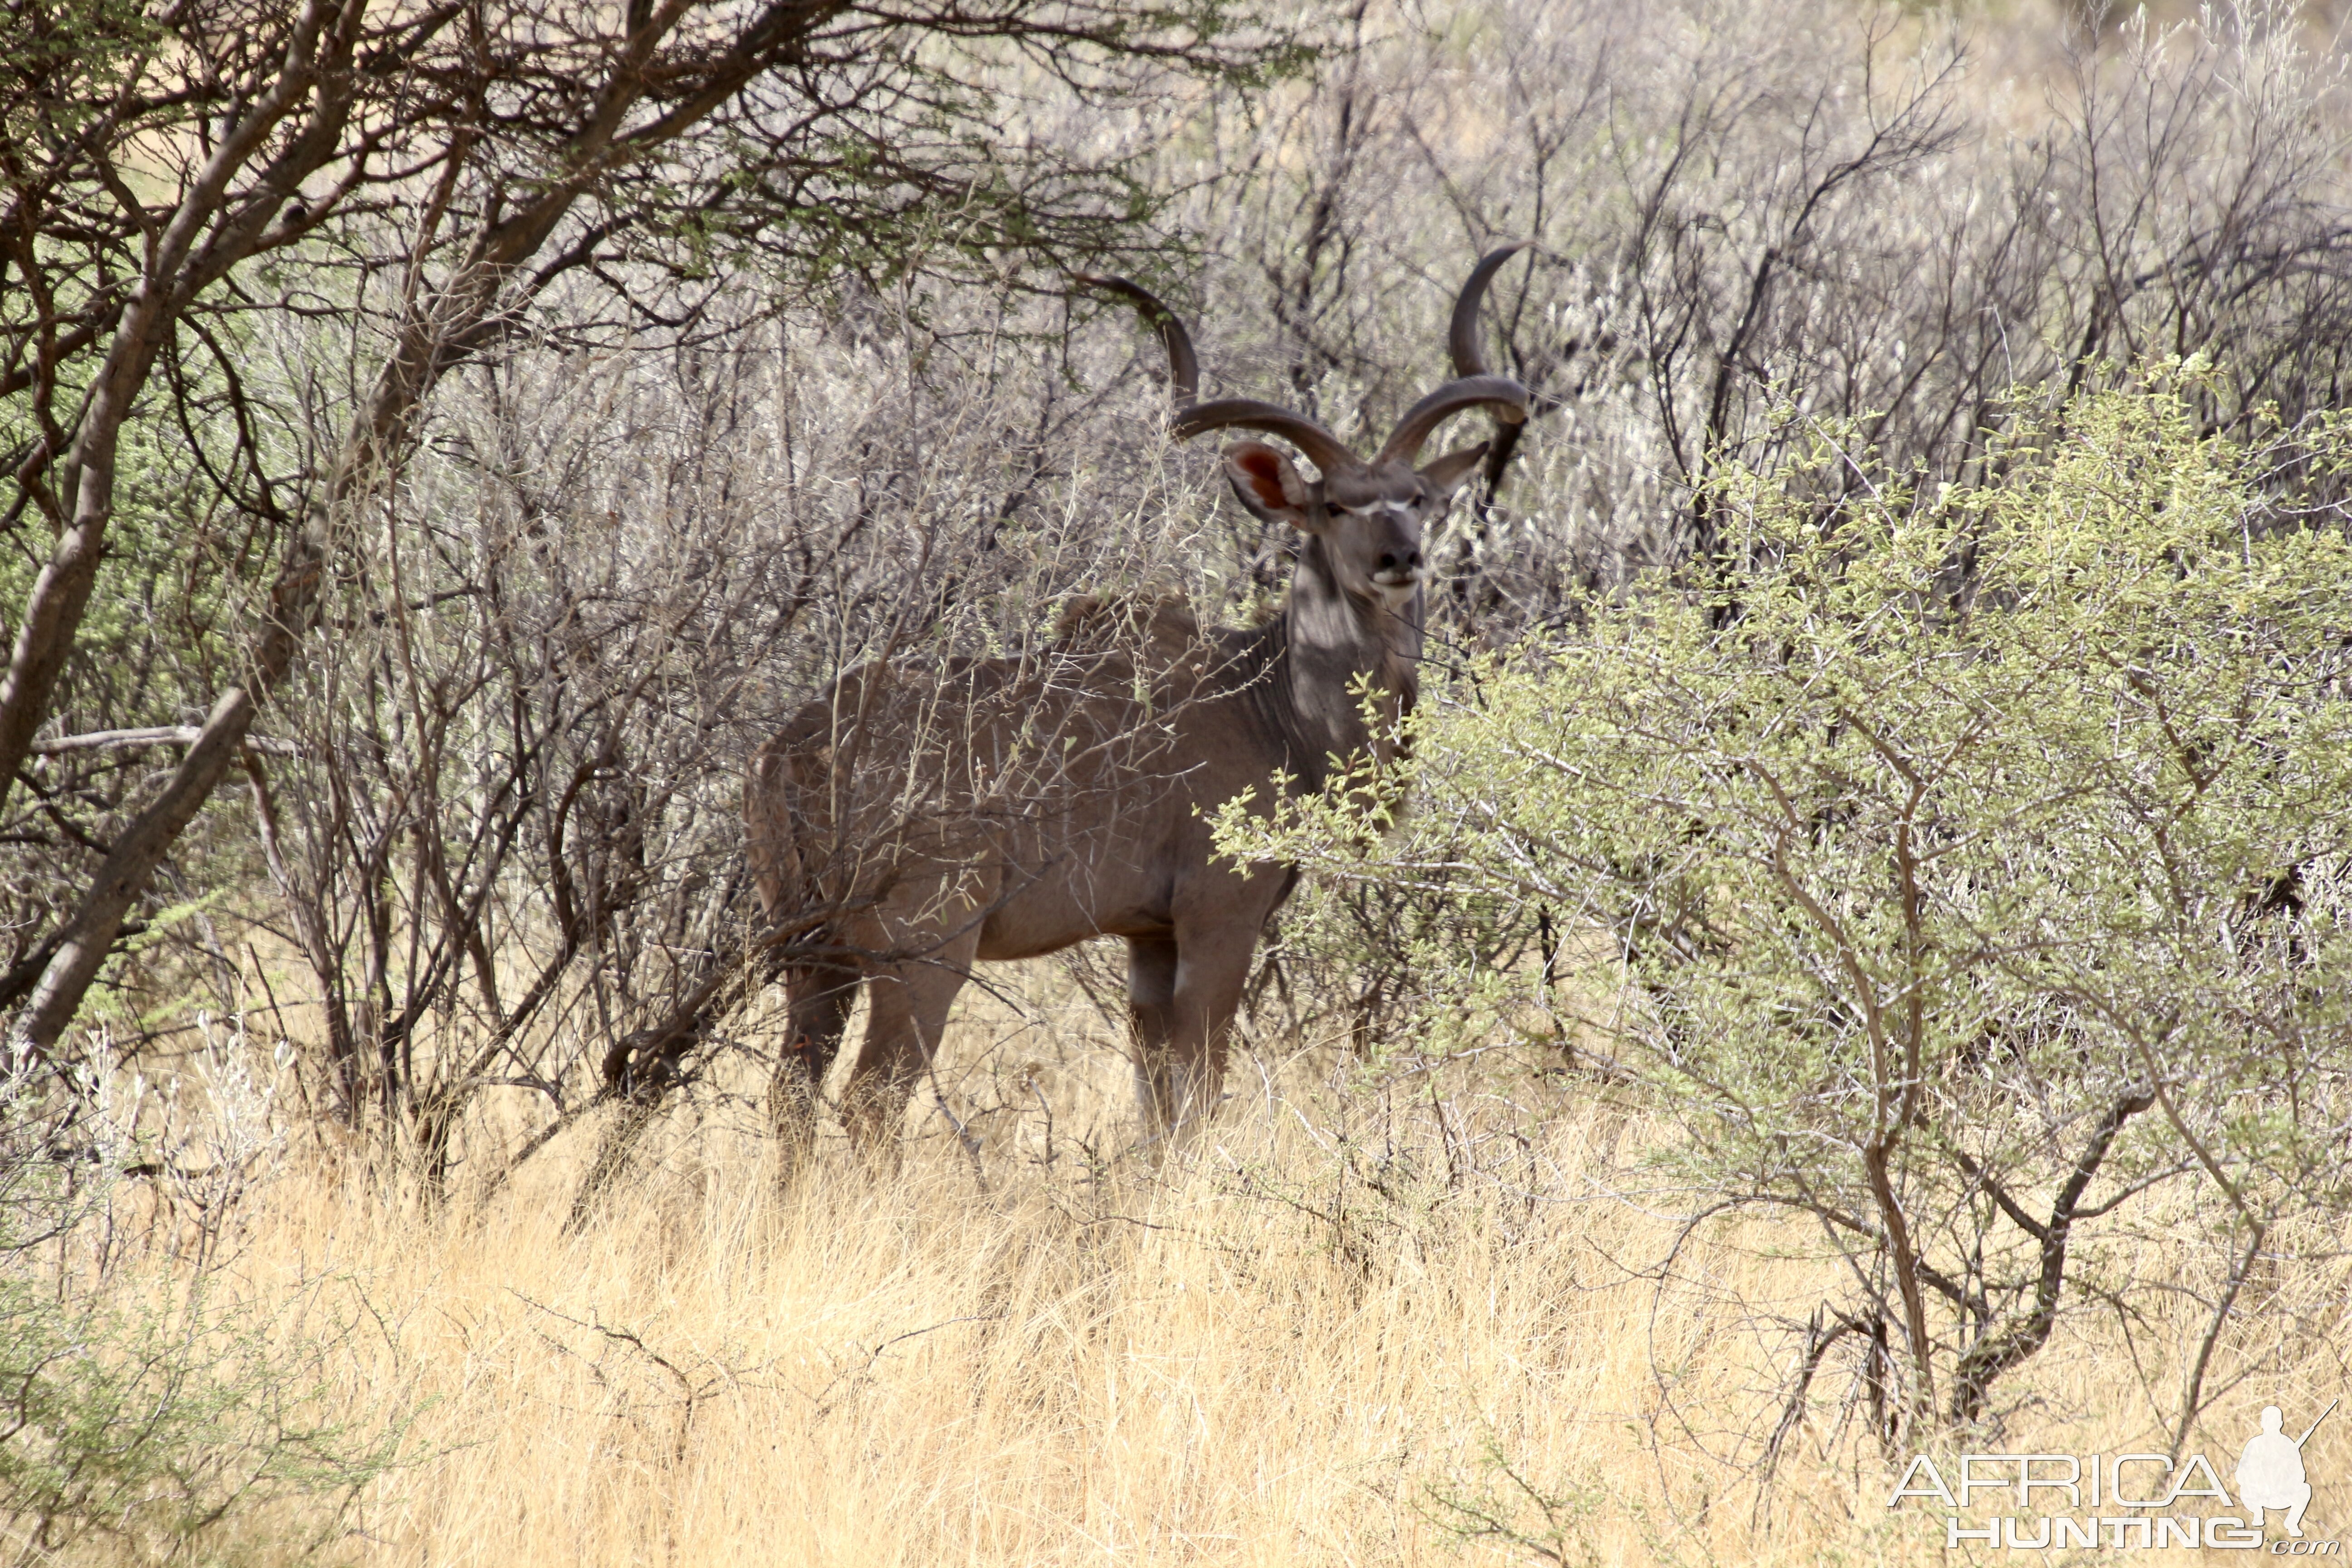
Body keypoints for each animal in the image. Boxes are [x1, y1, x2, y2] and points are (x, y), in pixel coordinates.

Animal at [743, 245, 1533, 1171]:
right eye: (1334, 504)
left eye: (1416, 497)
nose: (1399, 559)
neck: (1268, 702)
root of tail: (793, 751)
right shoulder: (1219, 915)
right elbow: (1201, 1091)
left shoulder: (1147, 940)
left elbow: (1157, 1103)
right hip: (925, 946)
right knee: (871, 1100)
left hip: (813, 953)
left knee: (790, 1096)